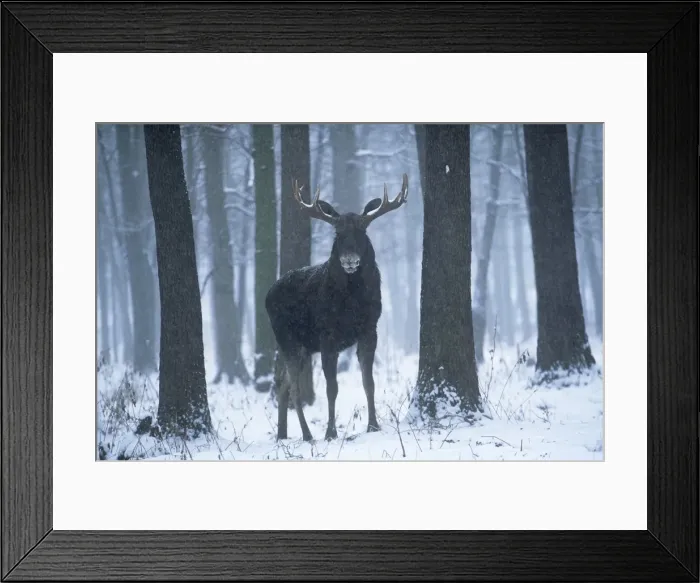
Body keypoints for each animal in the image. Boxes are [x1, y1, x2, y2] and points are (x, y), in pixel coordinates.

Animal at [265, 174, 409, 442]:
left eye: (362, 231)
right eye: (337, 233)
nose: (349, 259)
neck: (351, 305)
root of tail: (267, 295)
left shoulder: (369, 330)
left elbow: (369, 382)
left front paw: (373, 425)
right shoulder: (327, 336)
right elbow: (332, 388)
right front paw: (331, 432)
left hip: (302, 347)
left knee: (283, 384)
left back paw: (282, 434)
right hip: (286, 338)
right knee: (294, 388)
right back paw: (307, 434)